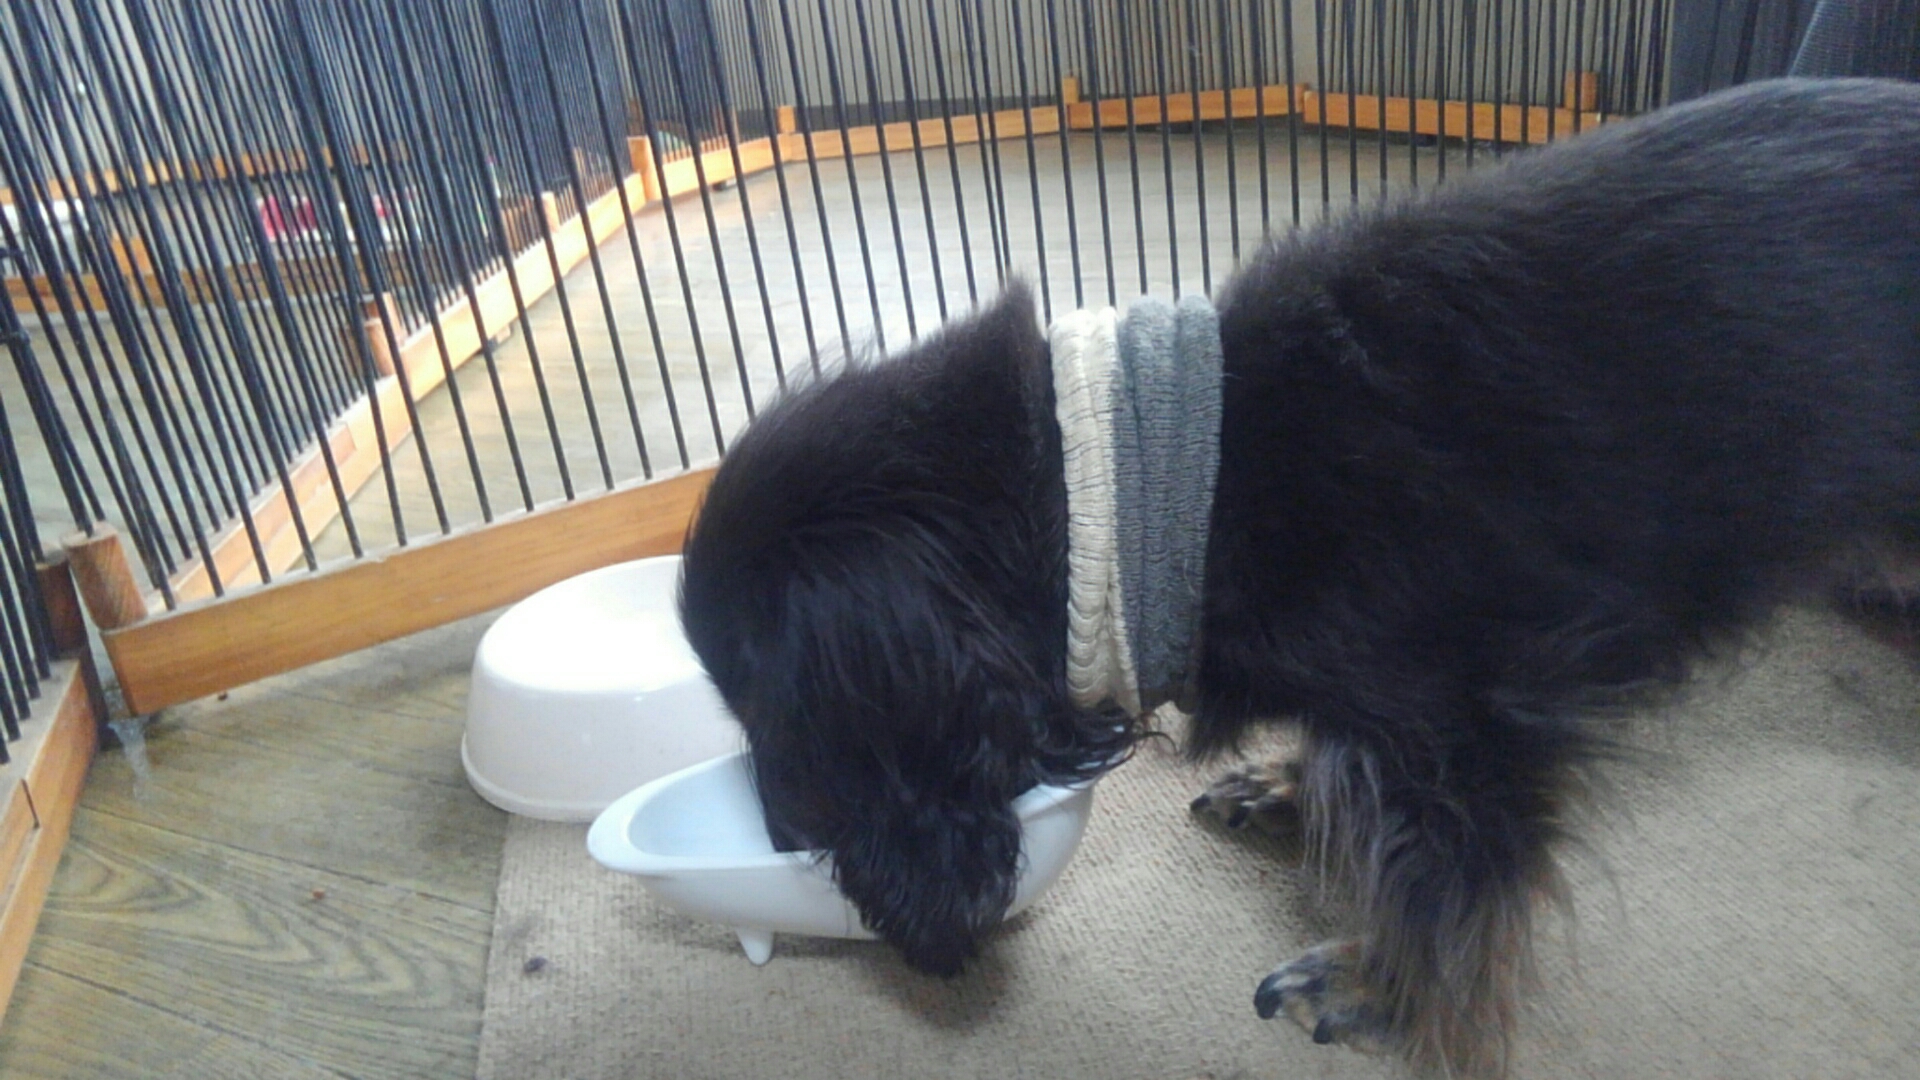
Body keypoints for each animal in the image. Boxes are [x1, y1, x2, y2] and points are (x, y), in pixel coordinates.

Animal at [678, 78, 1920, 1076]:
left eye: (773, 708)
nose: (779, 841)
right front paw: (1293, 788)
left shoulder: (1464, 721)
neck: (1181, 479)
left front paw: (1388, 988)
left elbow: (1449, 883)